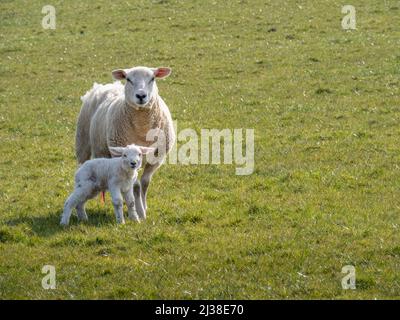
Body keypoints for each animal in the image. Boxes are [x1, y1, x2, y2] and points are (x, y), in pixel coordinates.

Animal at [75, 65, 175, 220]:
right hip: (83, 143)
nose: (141, 96)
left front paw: (144, 208)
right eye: (128, 79)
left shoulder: (156, 158)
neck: (142, 128)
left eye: (152, 78)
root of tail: (105, 86)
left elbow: (145, 183)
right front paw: (140, 212)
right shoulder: (125, 157)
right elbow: (136, 186)